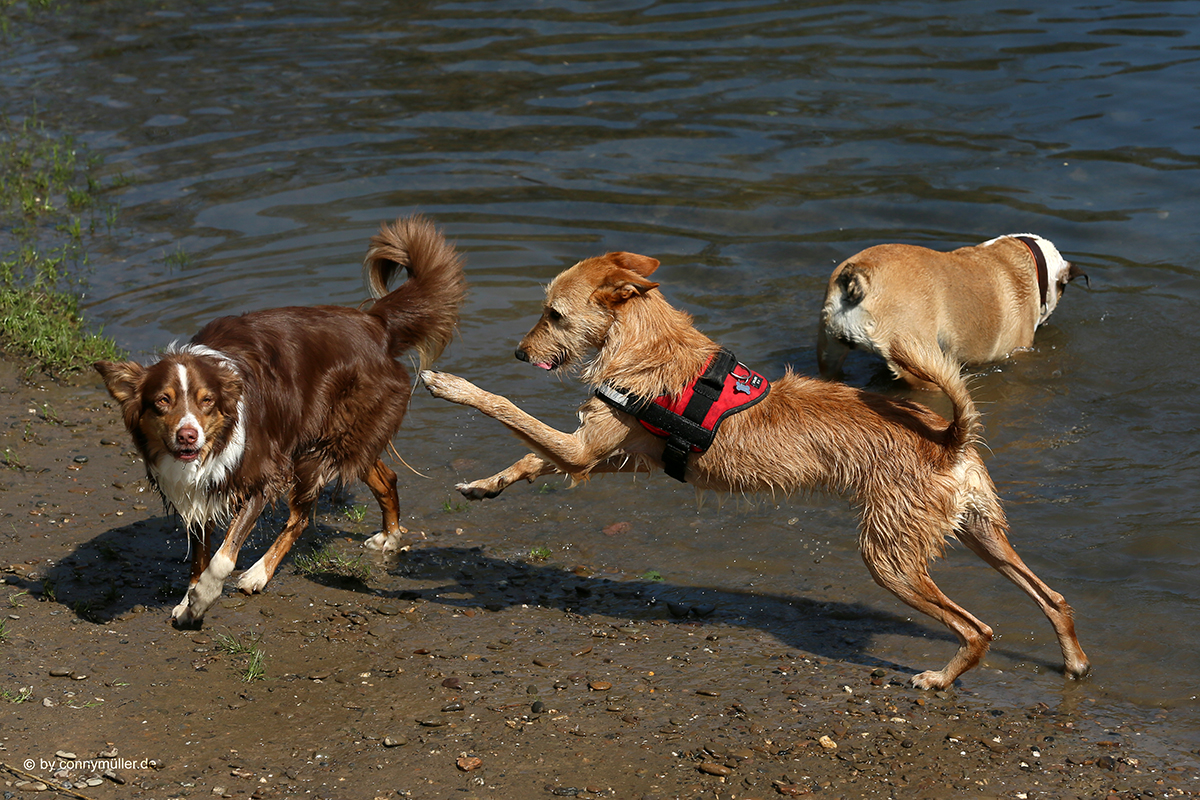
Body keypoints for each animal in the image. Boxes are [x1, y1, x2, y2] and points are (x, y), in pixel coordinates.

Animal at [96, 215, 463, 628]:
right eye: (163, 401)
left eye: (207, 401)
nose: (188, 436)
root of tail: (376, 324)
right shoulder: (203, 487)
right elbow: (201, 554)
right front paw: (188, 600)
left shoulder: (264, 475)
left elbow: (222, 557)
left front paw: (203, 597)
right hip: (344, 439)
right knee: (386, 478)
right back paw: (389, 537)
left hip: (318, 450)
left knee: (301, 517)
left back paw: (259, 573)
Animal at [420, 250, 1089, 690]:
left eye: (554, 315)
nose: (518, 353)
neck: (649, 343)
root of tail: (948, 438)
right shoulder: (611, 457)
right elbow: (531, 456)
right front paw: (485, 485)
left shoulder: (586, 452)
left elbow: (504, 408)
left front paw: (447, 381)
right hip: (979, 533)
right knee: (1052, 596)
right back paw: (1074, 660)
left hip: (890, 559)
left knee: (979, 629)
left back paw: (941, 679)